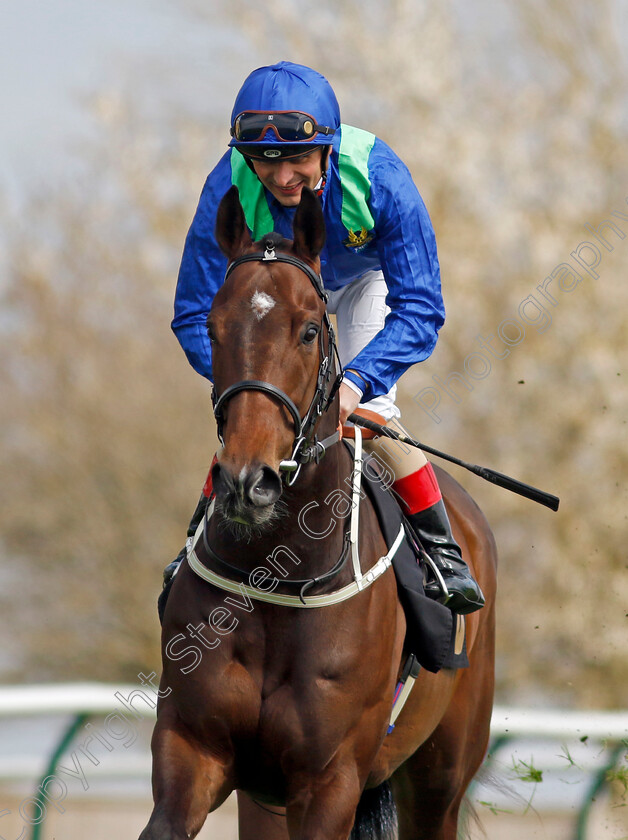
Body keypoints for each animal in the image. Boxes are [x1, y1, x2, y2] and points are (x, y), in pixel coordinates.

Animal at [140, 185, 498, 840]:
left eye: (309, 330)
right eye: (213, 328)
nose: (246, 482)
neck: (277, 575)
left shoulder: (330, 780)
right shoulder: (192, 751)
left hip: (441, 775)